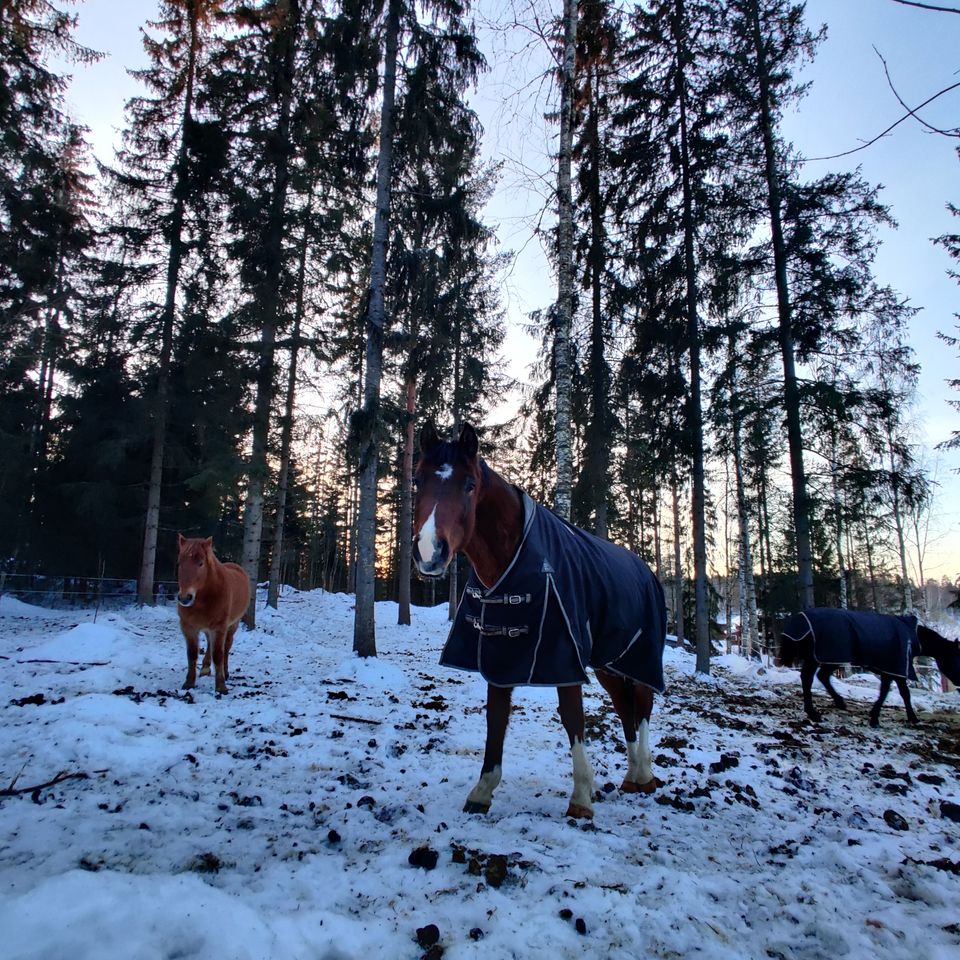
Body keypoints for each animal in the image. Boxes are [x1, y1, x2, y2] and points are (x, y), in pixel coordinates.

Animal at [176, 532, 251, 696]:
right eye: (179, 563)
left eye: (201, 563)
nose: (185, 598)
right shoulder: (189, 627)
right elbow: (192, 654)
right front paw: (189, 682)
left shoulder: (219, 627)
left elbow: (218, 654)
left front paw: (221, 686)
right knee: (210, 644)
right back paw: (205, 669)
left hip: (232, 626)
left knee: (226, 648)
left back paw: (226, 672)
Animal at [412, 424, 668, 820]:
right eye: (417, 480)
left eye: (469, 484)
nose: (429, 552)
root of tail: (647, 572)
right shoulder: (498, 656)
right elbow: (496, 718)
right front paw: (482, 792)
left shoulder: (564, 658)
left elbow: (572, 718)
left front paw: (581, 798)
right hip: (609, 663)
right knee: (625, 708)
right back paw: (631, 778)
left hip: (639, 658)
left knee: (642, 706)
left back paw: (644, 776)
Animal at [780, 608, 960, 728]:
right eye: (954, 657)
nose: (958, 681)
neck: (912, 637)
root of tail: (799, 621)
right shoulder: (896, 667)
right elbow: (897, 693)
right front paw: (882, 718)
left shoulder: (891, 669)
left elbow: (893, 692)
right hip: (824, 657)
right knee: (808, 678)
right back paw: (813, 712)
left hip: (832, 658)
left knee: (821, 676)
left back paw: (839, 703)